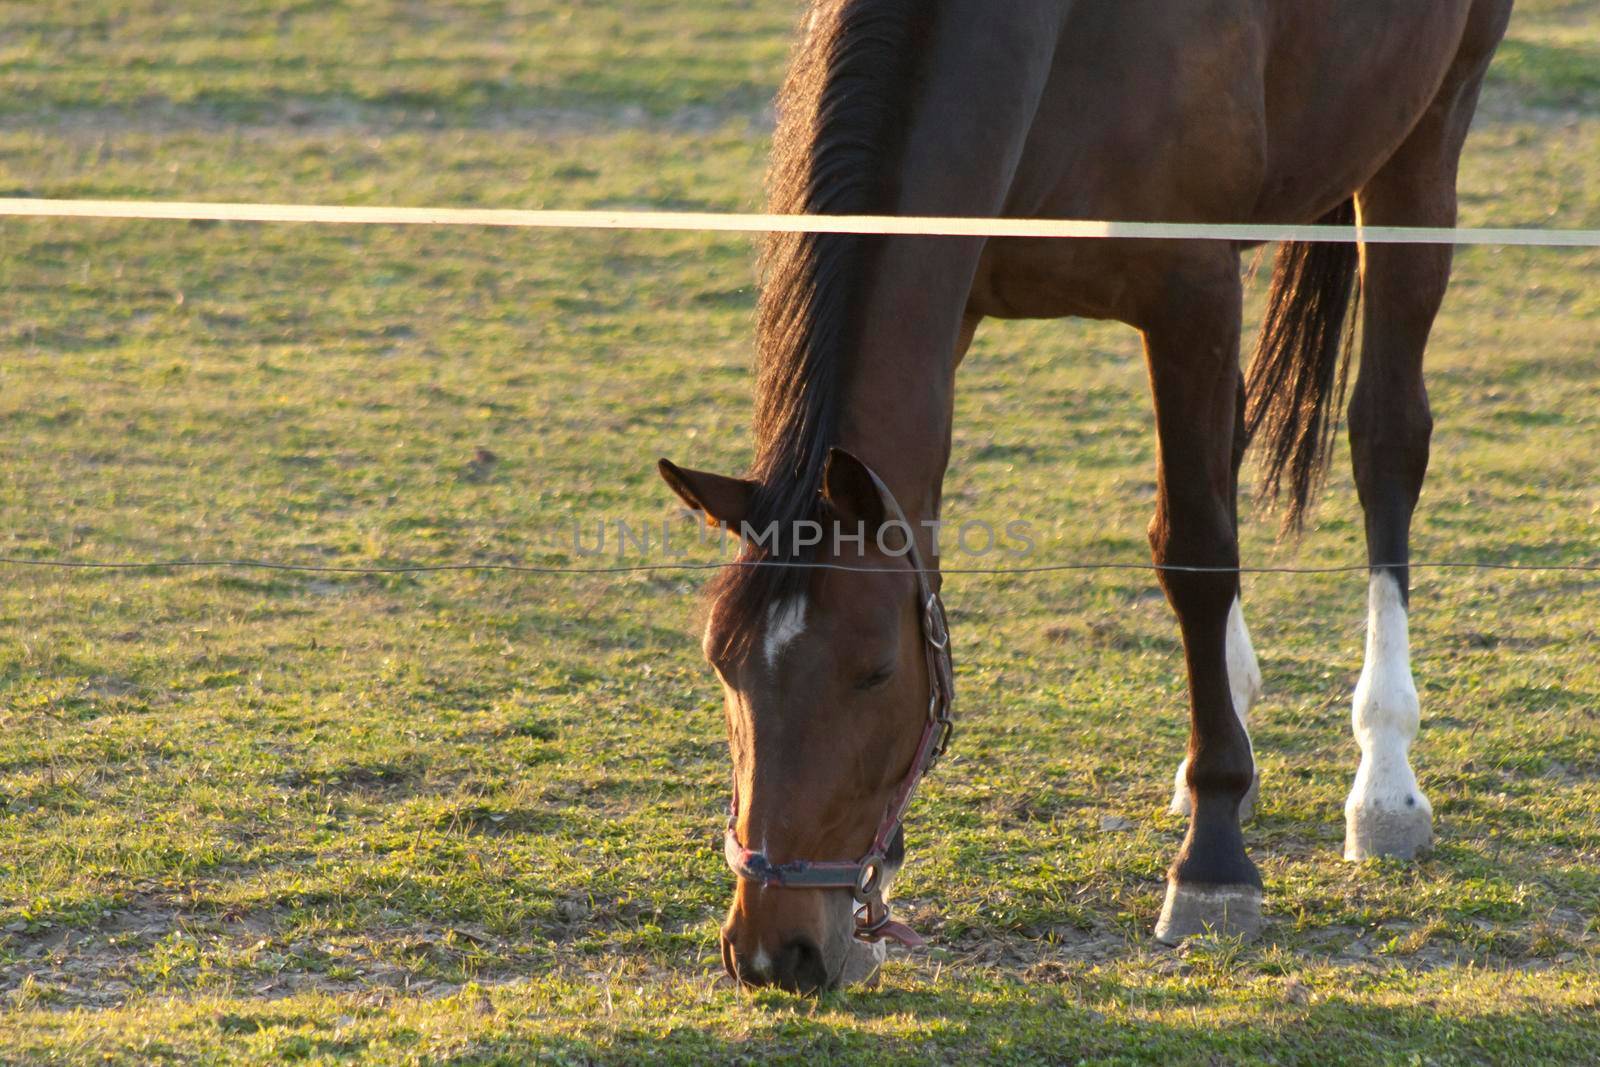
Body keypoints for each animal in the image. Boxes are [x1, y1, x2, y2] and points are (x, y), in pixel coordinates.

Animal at [656, 0, 1504, 991]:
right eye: (724, 664)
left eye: (874, 671)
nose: (770, 951)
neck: (1058, 44)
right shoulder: (961, 297)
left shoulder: (1189, 290)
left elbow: (1197, 553)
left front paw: (1213, 861)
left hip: (1427, 137)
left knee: (1385, 444)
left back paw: (1383, 780)